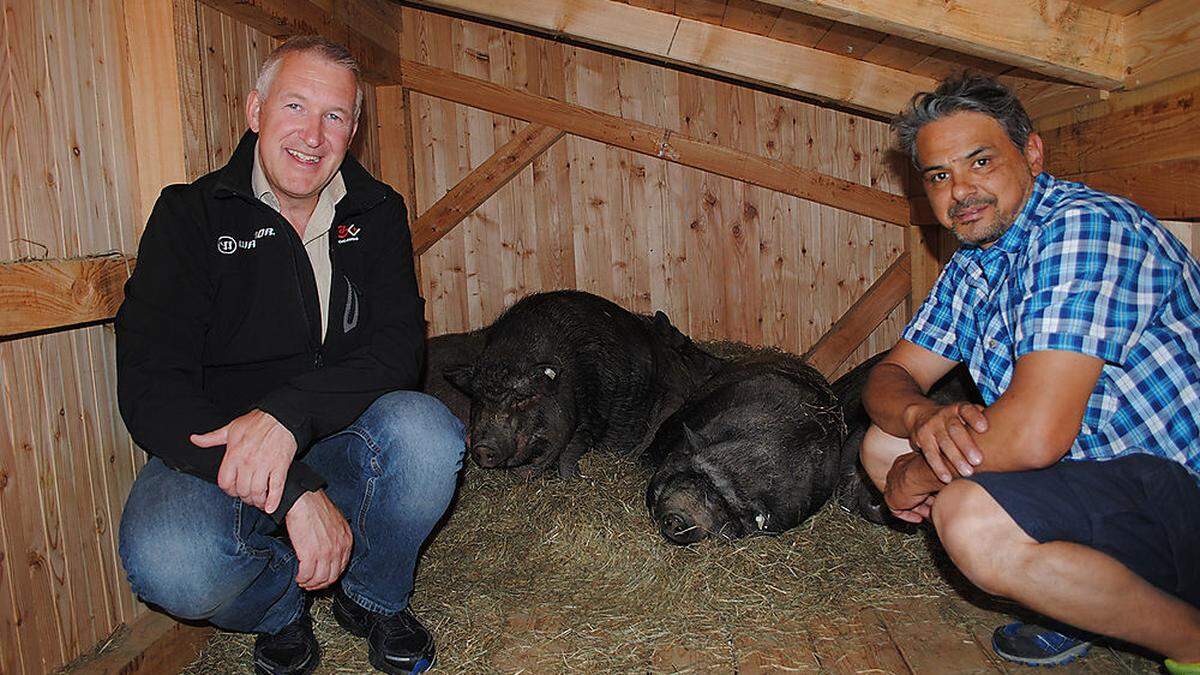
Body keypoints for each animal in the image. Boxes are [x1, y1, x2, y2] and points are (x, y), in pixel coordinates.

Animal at [444, 291, 715, 475]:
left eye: (524, 398)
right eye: (477, 399)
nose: (483, 447)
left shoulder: (594, 413)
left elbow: (569, 452)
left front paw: (573, 475)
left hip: (672, 400)